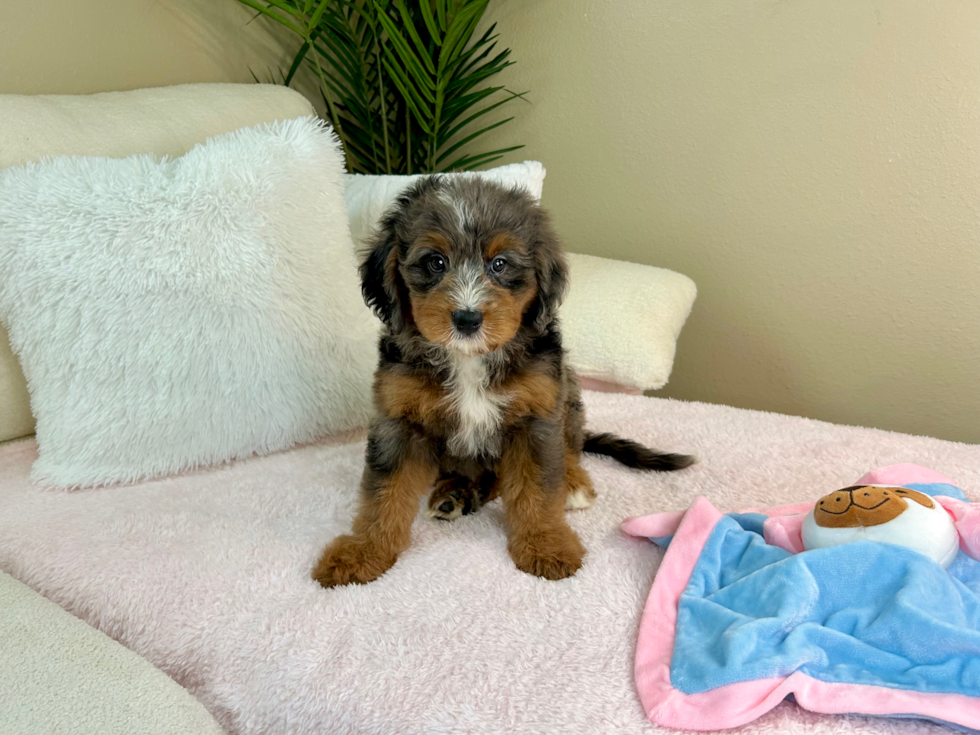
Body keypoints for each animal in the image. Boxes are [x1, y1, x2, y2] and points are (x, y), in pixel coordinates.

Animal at [314, 177, 688, 588]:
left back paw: (570, 483)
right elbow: (383, 492)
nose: (467, 318)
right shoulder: (399, 421)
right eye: (435, 261)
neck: (469, 360)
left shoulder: (536, 416)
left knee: (568, 449)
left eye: (499, 264)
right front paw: (363, 551)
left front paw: (546, 545)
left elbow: (537, 487)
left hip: (569, 393)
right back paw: (458, 493)